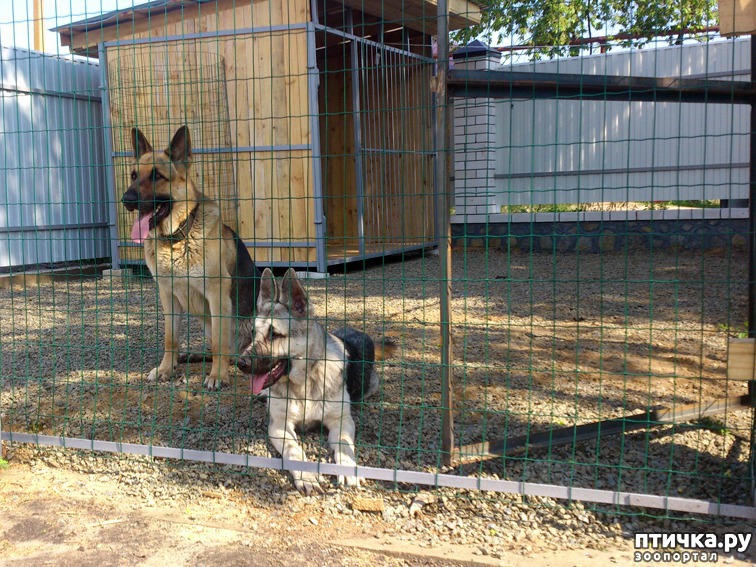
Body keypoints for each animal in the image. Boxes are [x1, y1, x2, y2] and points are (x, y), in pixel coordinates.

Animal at [119, 125, 258, 390]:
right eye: (132, 176)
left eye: (157, 176)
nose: (127, 200)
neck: (177, 239)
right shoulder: (168, 296)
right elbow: (170, 338)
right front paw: (165, 369)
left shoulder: (217, 295)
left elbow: (219, 344)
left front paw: (217, 376)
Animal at [238, 268, 396, 494]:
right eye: (253, 333)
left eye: (275, 334)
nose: (239, 363)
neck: (304, 384)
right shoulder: (279, 426)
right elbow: (293, 450)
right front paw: (306, 475)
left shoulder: (342, 421)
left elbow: (344, 446)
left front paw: (347, 468)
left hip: (372, 385)